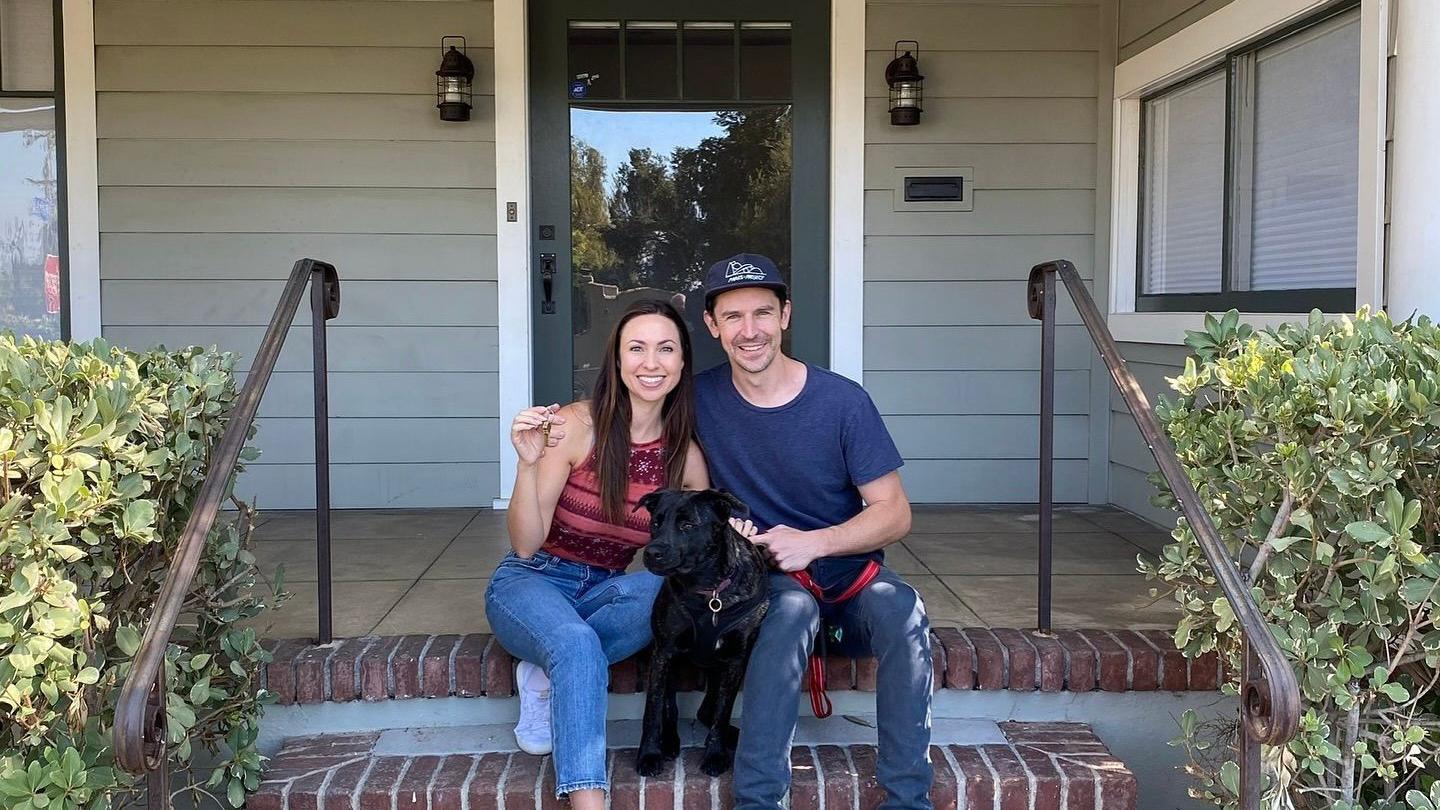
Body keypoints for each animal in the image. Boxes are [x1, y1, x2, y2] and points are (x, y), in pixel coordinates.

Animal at [636, 484, 771, 778]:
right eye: (655, 523)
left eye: (688, 525)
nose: (651, 552)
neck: (708, 590)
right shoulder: (664, 652)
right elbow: (654, 709)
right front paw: (649, 755)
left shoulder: (735, 659)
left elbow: (723, 711)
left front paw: (716, 754)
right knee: (671, 706)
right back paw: (669, 741)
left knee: (709, 710)